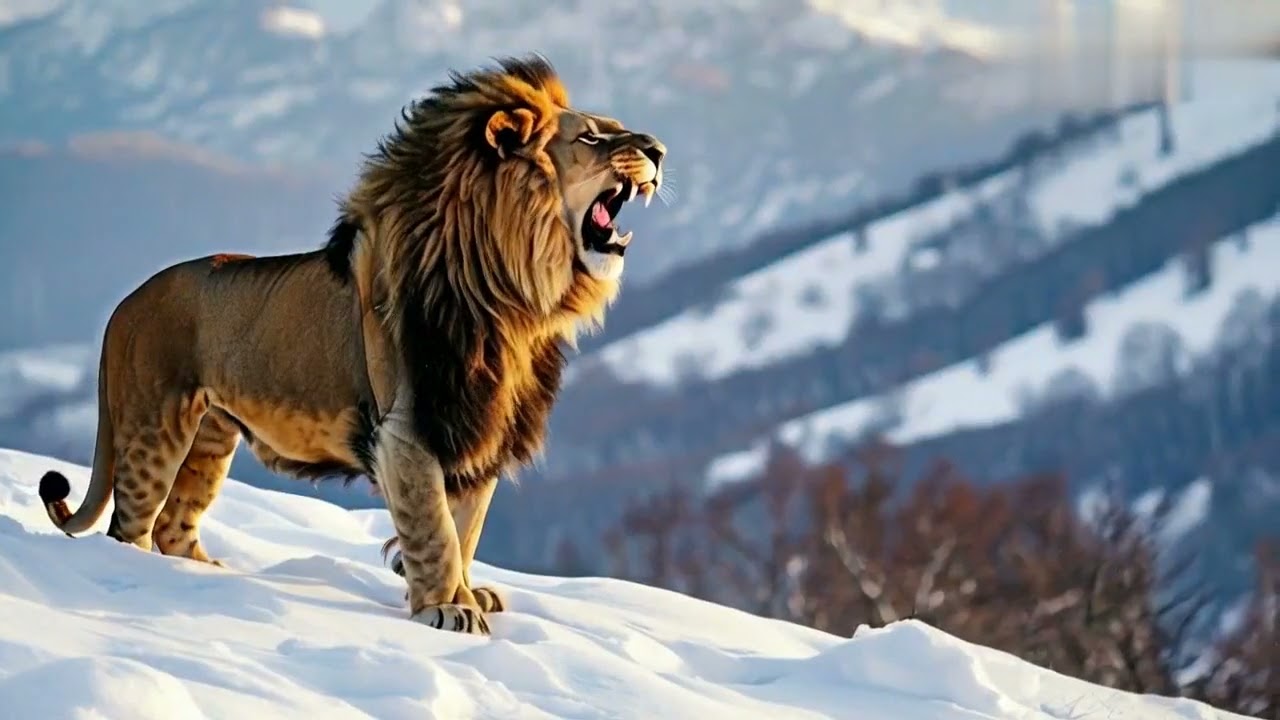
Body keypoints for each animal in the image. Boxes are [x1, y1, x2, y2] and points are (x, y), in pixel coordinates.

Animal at [35, 54, 666, 635]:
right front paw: (446, 608)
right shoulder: (409, 429)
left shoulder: (477, 428)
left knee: (173, 524)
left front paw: (468, 594)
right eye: (591, 137)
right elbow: (435, 528)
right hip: (156, 426)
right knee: (129, 527)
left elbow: (466, 527)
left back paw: (209, 574)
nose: (659, 150)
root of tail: (124, 304)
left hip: (211, 435)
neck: (515, 300)